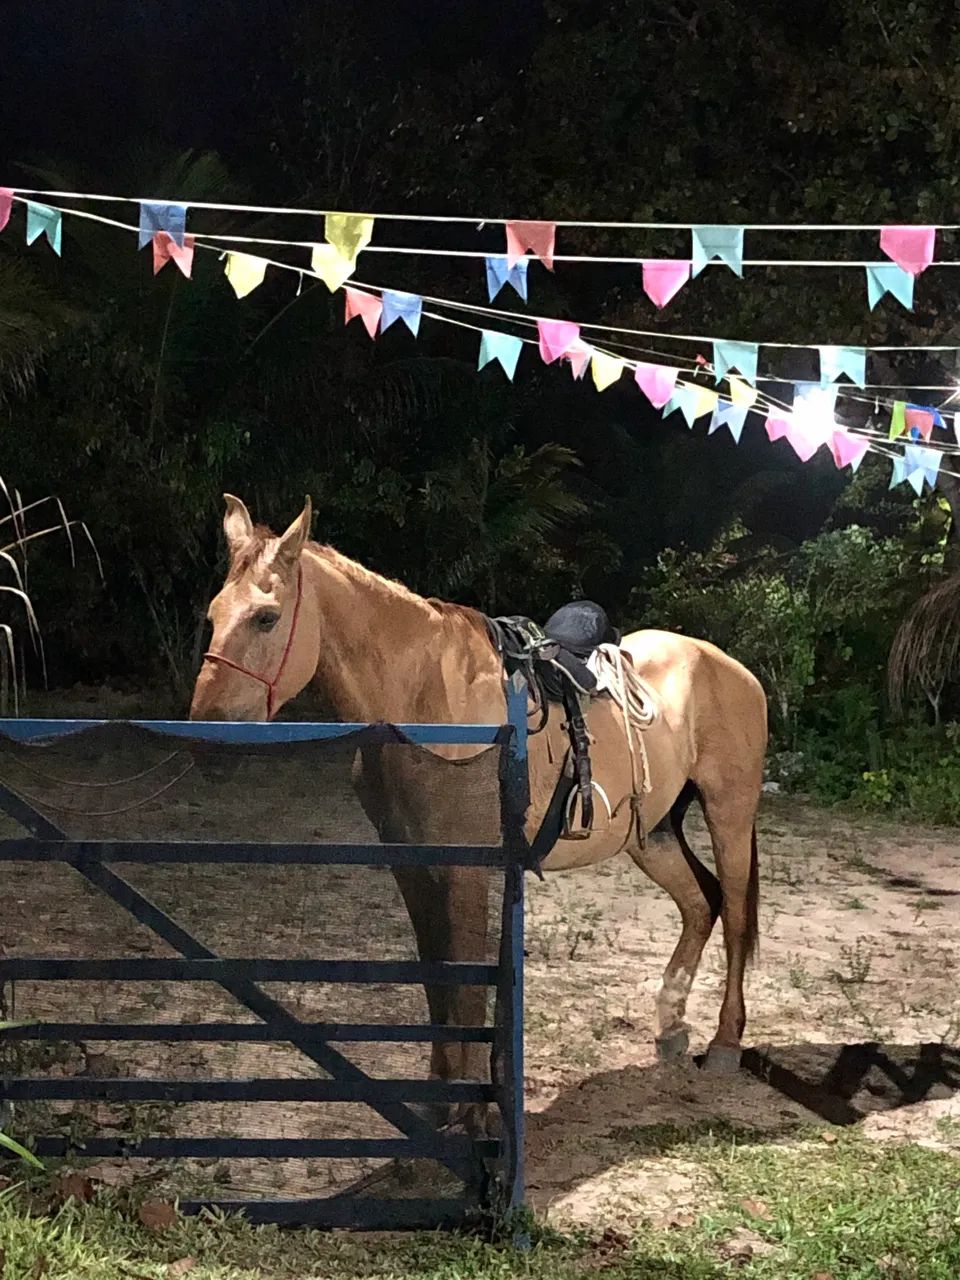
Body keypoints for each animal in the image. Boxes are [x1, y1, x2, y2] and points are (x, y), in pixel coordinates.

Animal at [189, 493, 768, 1113]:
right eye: (213, 615)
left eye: (266, 617)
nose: (206, 739)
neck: (425, 701)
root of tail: (732, 668)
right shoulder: (412, 864)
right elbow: (436, 975)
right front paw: (441, 1096)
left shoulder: (466, 868)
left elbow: (464, 979)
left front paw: (464, 1105)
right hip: (651, 832)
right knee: (700, 904)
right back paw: (671, 1027)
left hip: (729, 814)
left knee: (734, 913)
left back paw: (726, 1042)